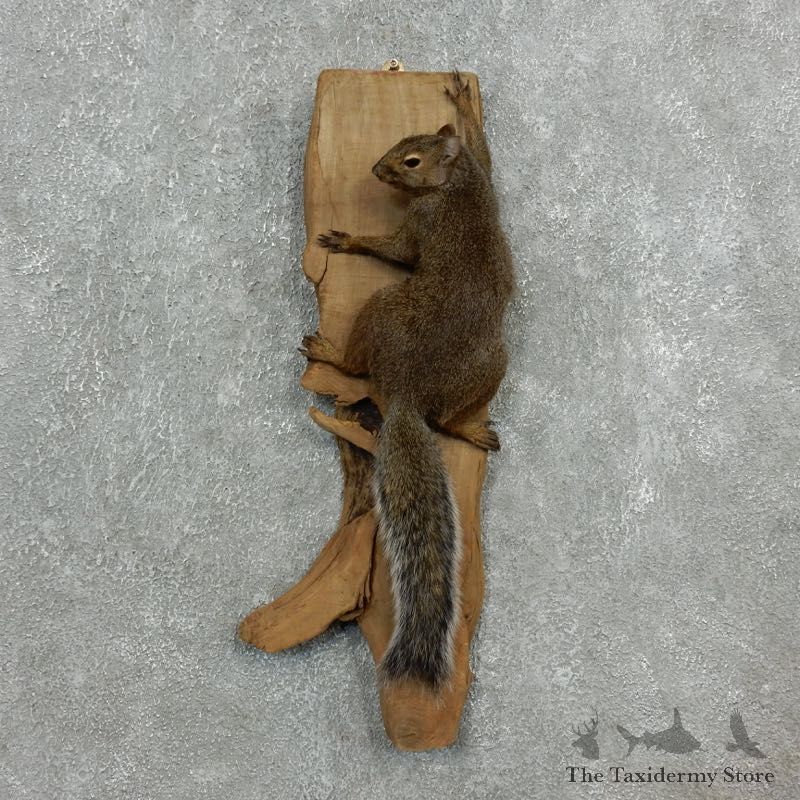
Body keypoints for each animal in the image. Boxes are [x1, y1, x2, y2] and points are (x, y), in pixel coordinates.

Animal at [301, 71, 514, 691]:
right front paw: (462, 102)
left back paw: (333, 353)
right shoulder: (484, 170)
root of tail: (407, 395)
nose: (375, 169)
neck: (457, 184)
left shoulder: (422, 221)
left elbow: (397, 249)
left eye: (410, 160)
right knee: (448, 418)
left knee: (364, 369)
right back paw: (471, 429)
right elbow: (484, 147)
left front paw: (351, 241)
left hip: (378, 309)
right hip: (493, 362)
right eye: (404, 141)